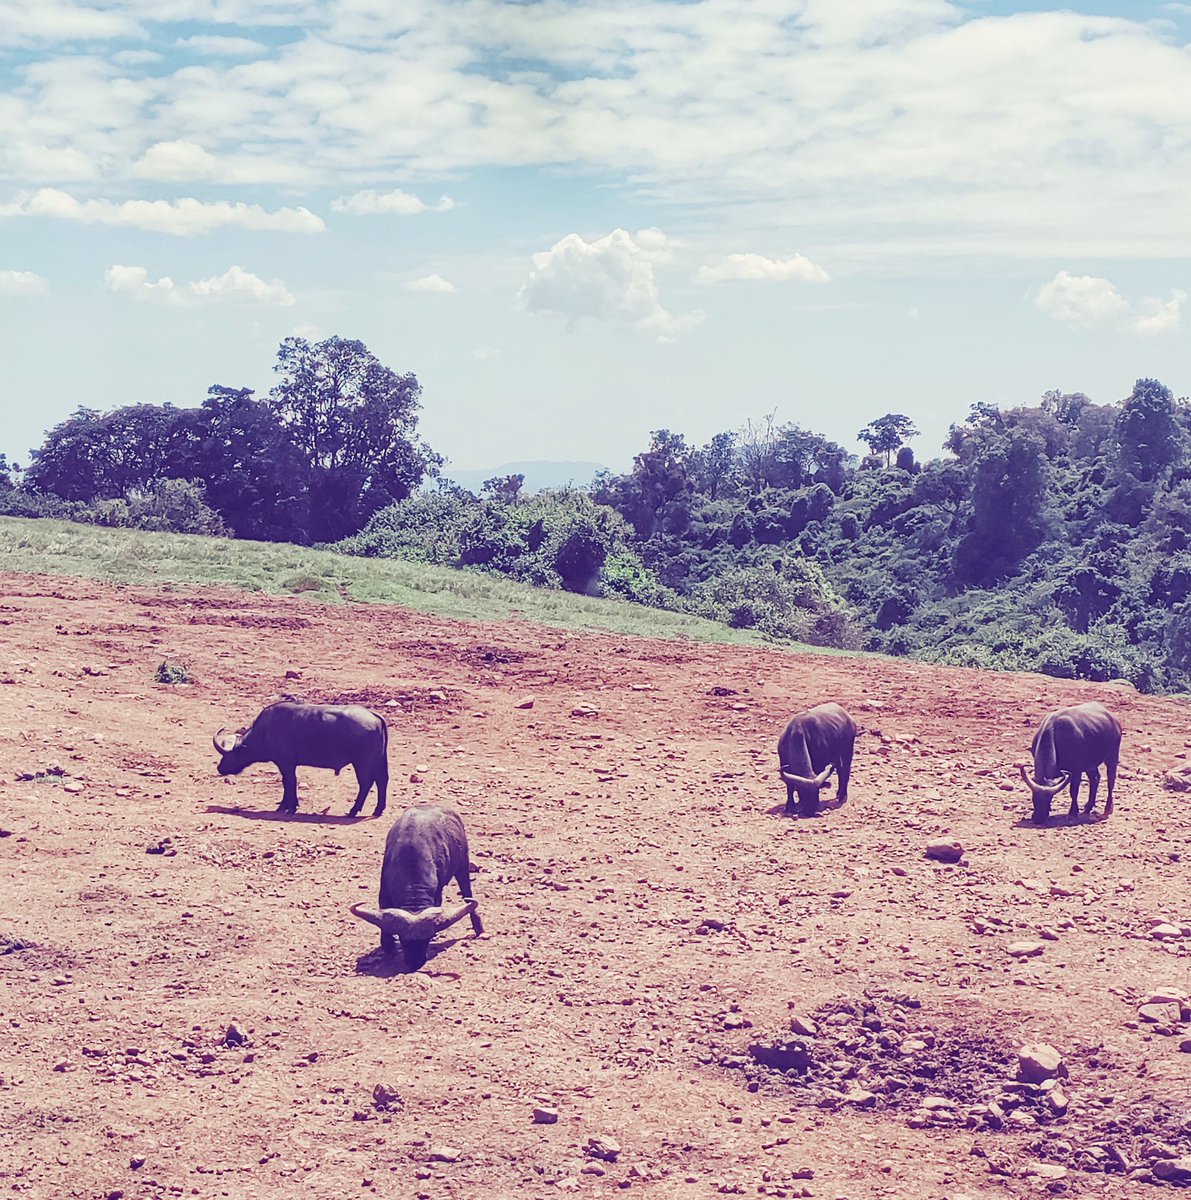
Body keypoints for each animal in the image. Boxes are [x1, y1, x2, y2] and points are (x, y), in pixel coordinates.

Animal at [213, 702, 388, 817]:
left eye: (229, 755)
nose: (220, 768)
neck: (265, 731)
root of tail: (373, 716)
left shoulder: (285, 763)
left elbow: (289, 782)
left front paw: (289, 807)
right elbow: (288, 782)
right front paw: (286, 805)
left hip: (362, 763)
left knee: (366, 783)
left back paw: (353, 811)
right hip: (379, 761)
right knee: (382, 780)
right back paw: (378, 810)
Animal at [350, 805, 482, 969]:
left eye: (427, 939)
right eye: (402, 939)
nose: (415, 962)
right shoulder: (384, 889)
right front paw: (388, 944)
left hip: (463, 864)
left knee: (467, 892)